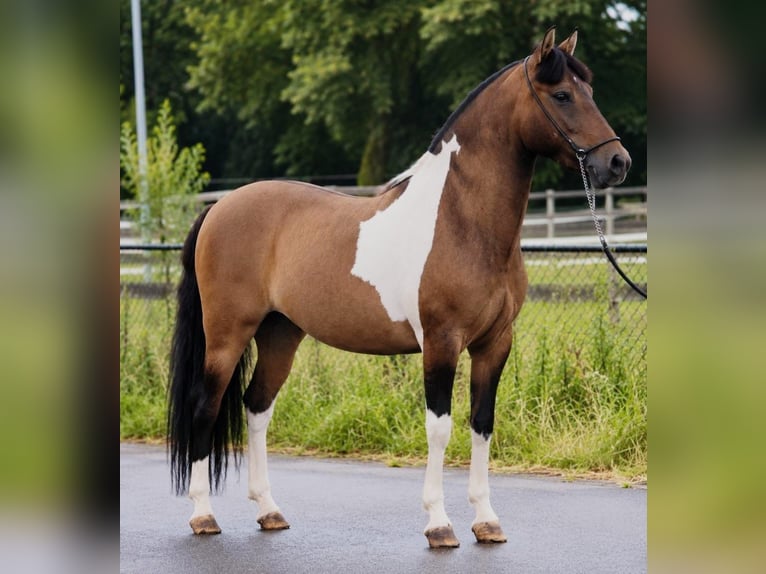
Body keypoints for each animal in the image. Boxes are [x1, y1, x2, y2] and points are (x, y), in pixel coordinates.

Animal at [168, 26, 631, 548]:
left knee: (257, 407)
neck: (462, 220)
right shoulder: (441, 342)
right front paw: (439, 524)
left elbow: (482, 424)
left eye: (590, 91)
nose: (618, 162)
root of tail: (218, 208)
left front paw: (487, 520)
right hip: (226, 336)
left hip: (280, 333)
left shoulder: (495, 344)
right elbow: (439, 429)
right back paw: (203, 515)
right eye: (563, 95)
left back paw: (269, 510)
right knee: (204, 409)